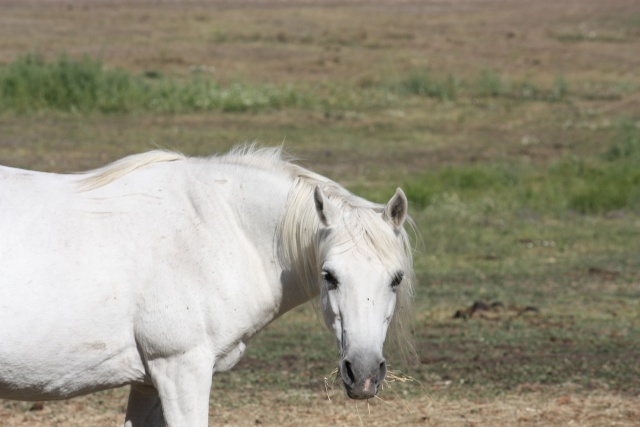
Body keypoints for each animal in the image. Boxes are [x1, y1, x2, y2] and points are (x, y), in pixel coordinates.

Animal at [0, 145, 416, 426]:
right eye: (329, 275)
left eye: (396, 278)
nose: (363, 374)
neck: (215, 228)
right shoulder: (180, 370)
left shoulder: (149, 383)